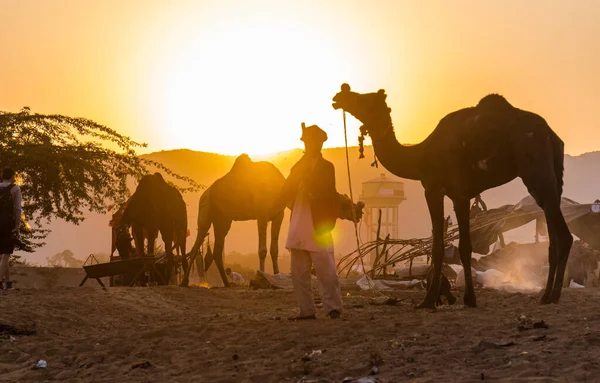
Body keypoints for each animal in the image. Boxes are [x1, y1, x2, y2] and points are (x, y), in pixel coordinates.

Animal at [332, 84, 572, 308]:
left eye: (364, 99)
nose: (339, 95)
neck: (419, 156)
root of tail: (551, 134)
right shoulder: (460, 194)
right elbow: (463, 247)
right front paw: (468, 298)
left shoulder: (437, 189)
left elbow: (442, 245)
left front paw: (430, 300)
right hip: (553, 177)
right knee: (553, 233)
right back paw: (547, 295)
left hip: (536, 169)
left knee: (564, 235)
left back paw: (554, 295)